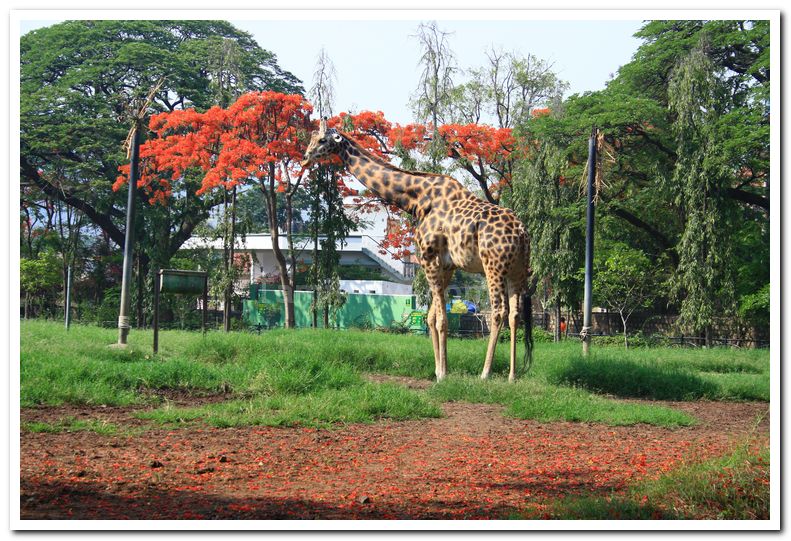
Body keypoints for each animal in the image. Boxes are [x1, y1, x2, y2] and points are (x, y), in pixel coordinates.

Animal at [302, 119, 532, 380]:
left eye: (322, 140)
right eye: (311, 139)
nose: (306, 158)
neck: (417, 199)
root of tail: (522, 232)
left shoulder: (429, 256)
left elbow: (441, 319)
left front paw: (442, 374)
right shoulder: (447, 264)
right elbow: (431, 317)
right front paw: (440, 368)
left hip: (493, 266)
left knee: (498, 311)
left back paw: (485, 374)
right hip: (517, 270)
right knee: (514, 315)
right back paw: (512, 376)